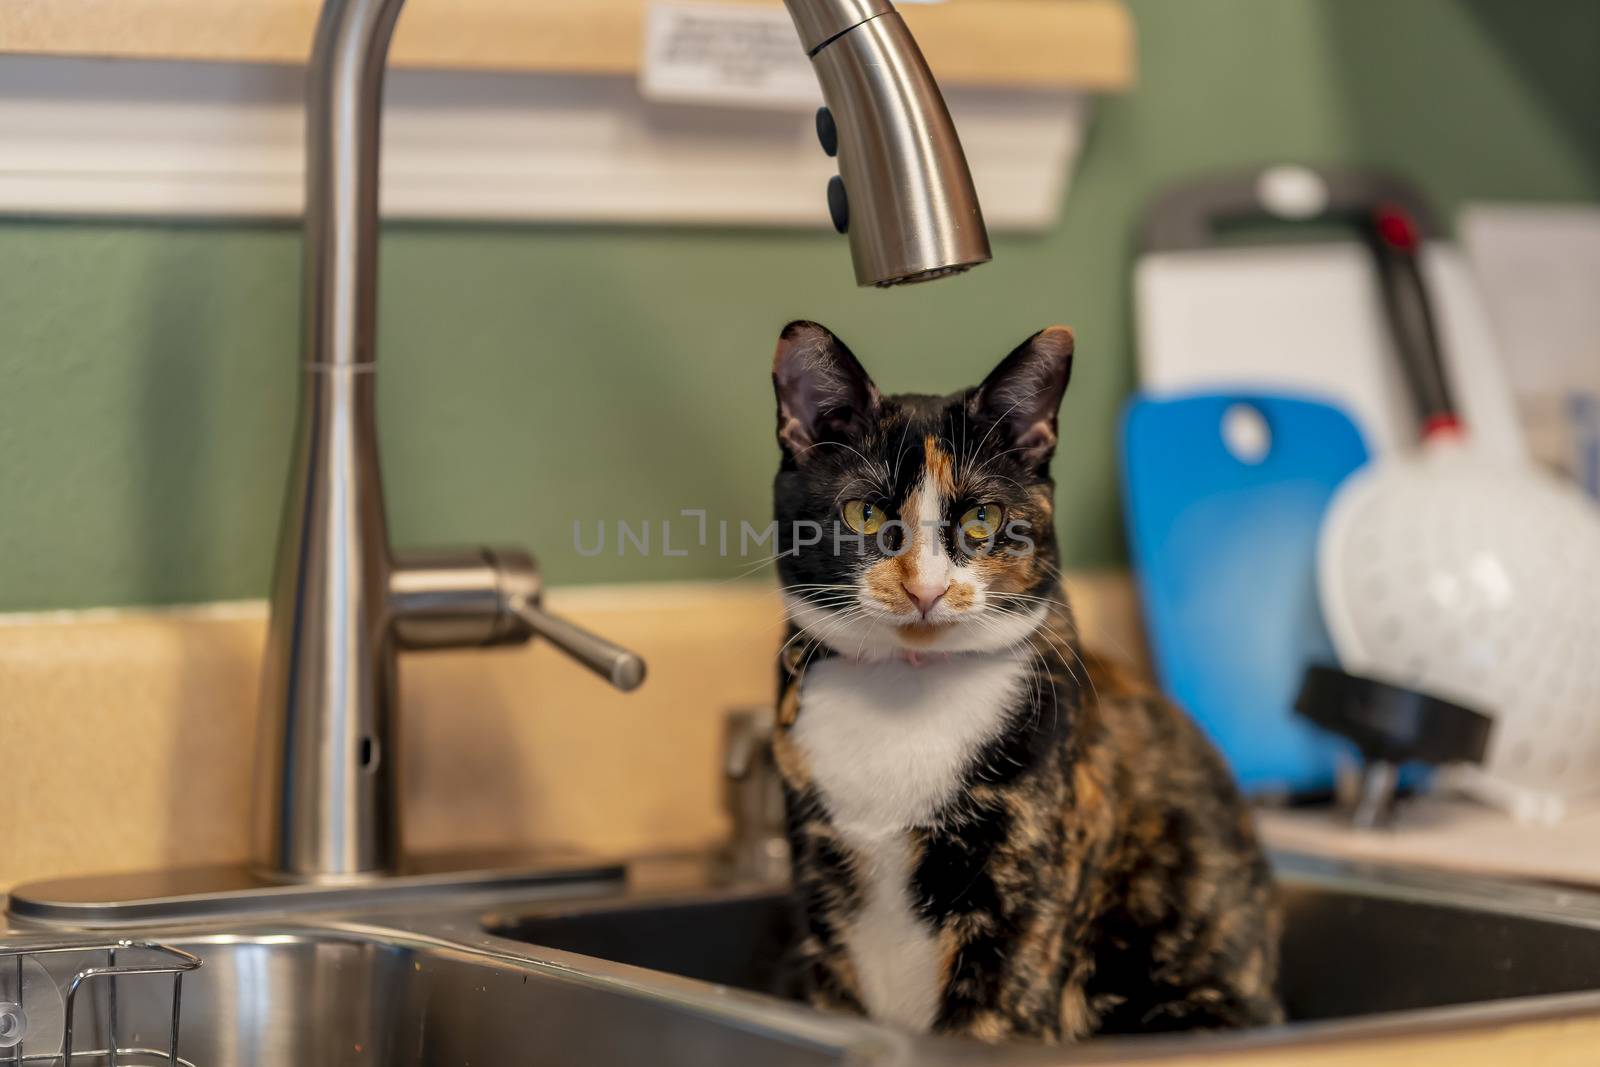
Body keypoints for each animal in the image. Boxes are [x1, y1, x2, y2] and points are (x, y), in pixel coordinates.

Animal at [768, 319, 1280, 1043]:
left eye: (981, 519)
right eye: (864, 514)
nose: (926, 589)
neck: (907, 691)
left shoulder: (1020, 906)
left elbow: (990, 1018)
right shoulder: (822, 900)